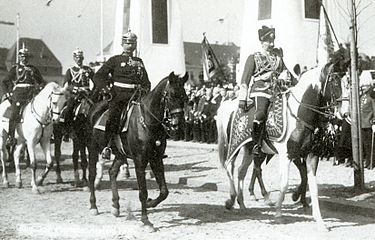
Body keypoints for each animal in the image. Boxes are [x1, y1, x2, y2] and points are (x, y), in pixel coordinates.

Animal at [87, 71, 188, 229]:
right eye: (171, 95)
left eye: (184, 96)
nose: (179, 124)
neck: (148, 121)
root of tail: (94, 108)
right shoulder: (140, 160)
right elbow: (143, 192)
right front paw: (146, 220)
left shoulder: (156, 158)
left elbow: (164, 191)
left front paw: (150, 203)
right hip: (92, 148)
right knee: (91, 175)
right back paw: (93, 206)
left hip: (119, 153)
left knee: (112, 172)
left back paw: (115, 206)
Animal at [217, 63, 344, 231]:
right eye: (334, 82)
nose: (343, 114)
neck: (299, 114)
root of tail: (229, 104)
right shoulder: (287, 155)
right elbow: (284, 184)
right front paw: (278, 213)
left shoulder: (311, 156)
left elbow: (313, 187)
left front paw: (320, 221)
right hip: (234, 146)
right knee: (229, 167)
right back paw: (232, 200)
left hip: (250, 149)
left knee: (241, 171)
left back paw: (242, 203)